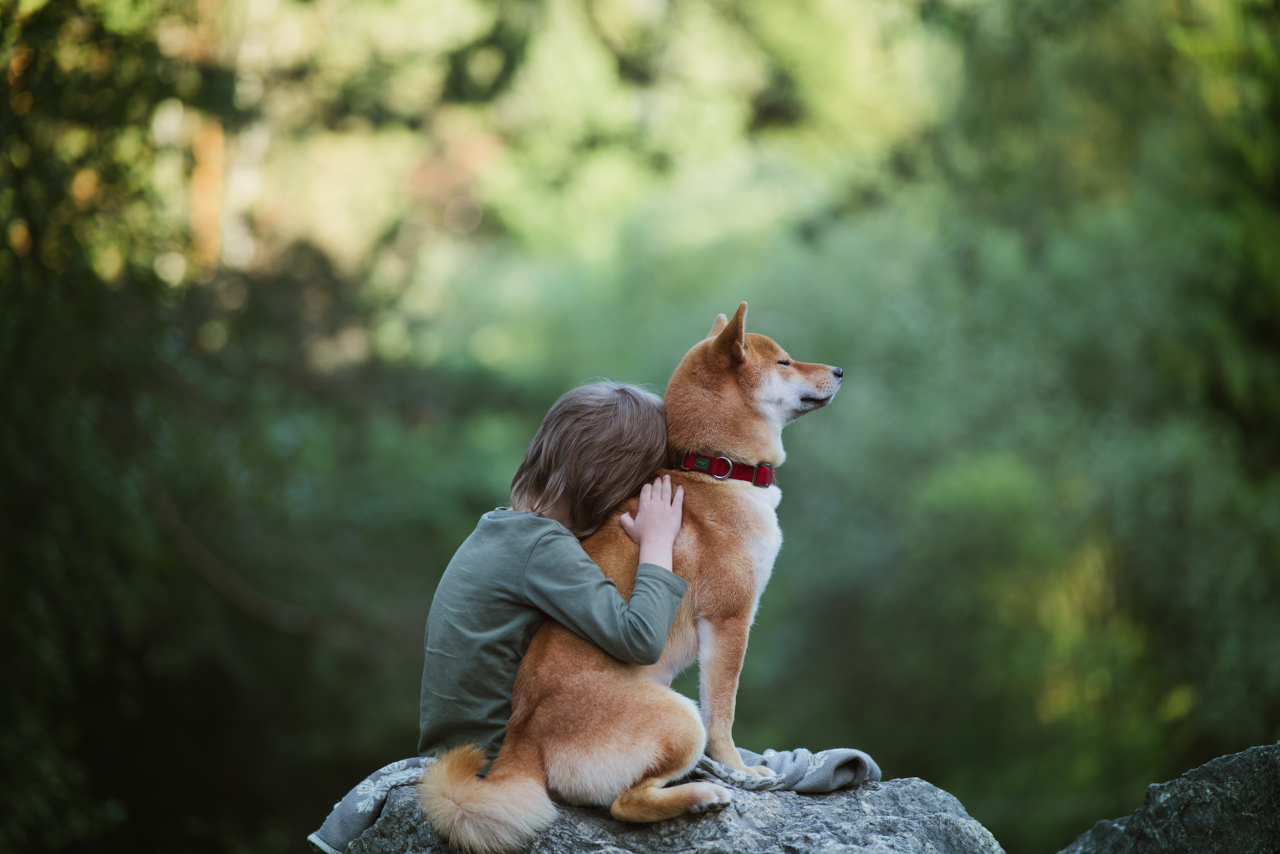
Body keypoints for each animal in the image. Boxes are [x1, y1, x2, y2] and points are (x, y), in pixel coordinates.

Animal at [417, 303, 839, 850]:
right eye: (785, 362)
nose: (839, 371)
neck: (714, 469)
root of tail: (523, 738)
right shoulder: (729, 621)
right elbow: (722, 714)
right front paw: (741, 769)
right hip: (679, 716)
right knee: (625, 802)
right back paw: (702, 793)